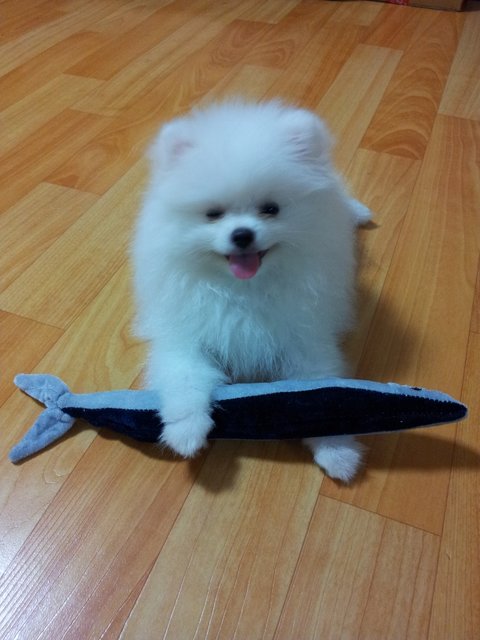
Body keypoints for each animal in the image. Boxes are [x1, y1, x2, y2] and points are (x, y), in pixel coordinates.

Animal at [132, 100, 370, 482]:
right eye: (213, 214)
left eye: (270, 209)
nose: (242, 234)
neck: (243, 290)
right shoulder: (186, 336)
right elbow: (186, 383)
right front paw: (186, 433)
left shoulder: (305, 339)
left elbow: (323, 395)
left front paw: (338, 451)